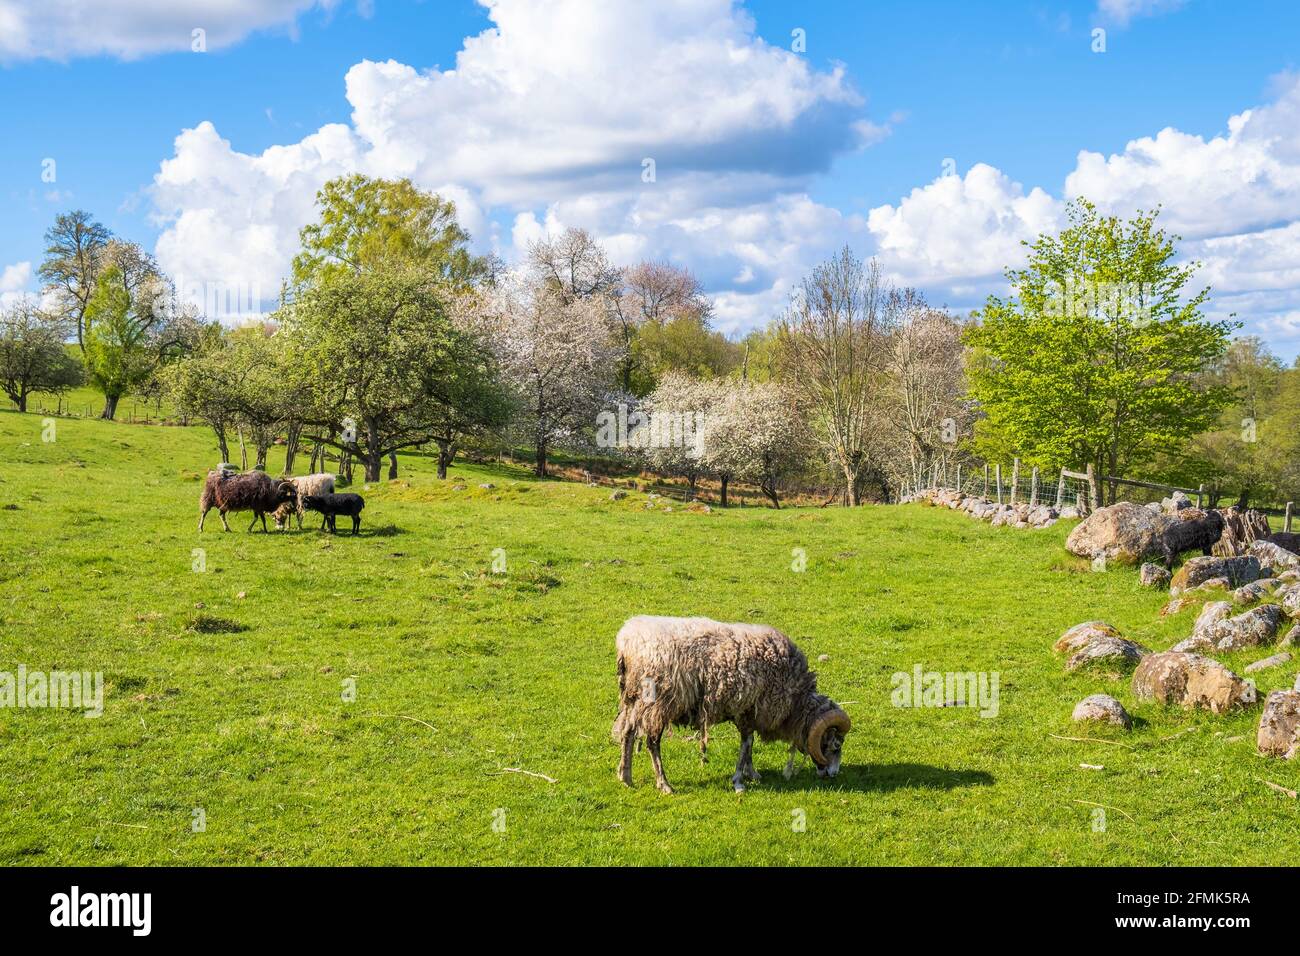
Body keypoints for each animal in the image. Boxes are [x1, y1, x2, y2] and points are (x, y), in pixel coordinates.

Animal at [611, 615, 852, 794]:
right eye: (835, 745)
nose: (833, 774)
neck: (796, 700)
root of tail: (626, 640)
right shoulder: (747, 710)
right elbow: (746, 744)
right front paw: (739, 780)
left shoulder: (749, 711)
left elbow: (750, 744)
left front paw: (752, 773)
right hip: (658, 703)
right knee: (652, 742)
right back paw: (664, 784)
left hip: (635, 699)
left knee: (628, 731)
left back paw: (626, 777)